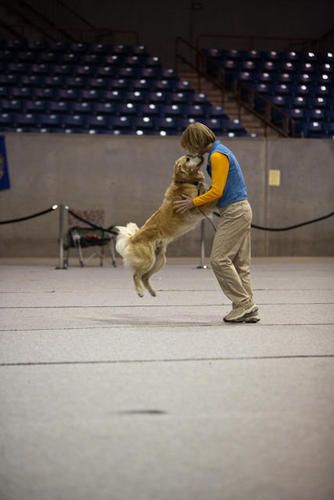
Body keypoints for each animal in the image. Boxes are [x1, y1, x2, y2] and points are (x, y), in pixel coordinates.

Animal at [116, 154, 215, 296]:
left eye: (192, 155)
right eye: (188, 159)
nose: (200, 155)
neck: (186, 182)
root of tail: (133, 238)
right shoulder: (195, 208)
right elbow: (210, 201)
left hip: (160, 260)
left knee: (144, 277)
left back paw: (152, 292)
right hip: (149, 260)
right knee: (136, 275)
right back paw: (140, 291)